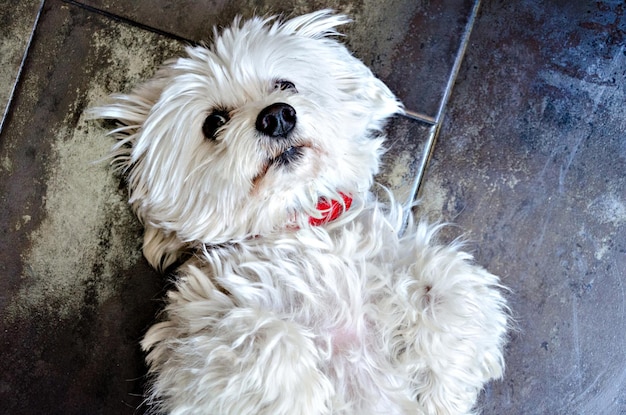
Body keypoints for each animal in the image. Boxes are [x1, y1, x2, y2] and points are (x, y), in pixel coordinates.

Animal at [89, 9, 508, 415]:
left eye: (285, 85)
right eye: (214, 122)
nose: (277, 116)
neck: (295, 221)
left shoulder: (430, 275)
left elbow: (449, 288)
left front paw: (443, 395)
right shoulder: (199, 332)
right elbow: (262, 337)